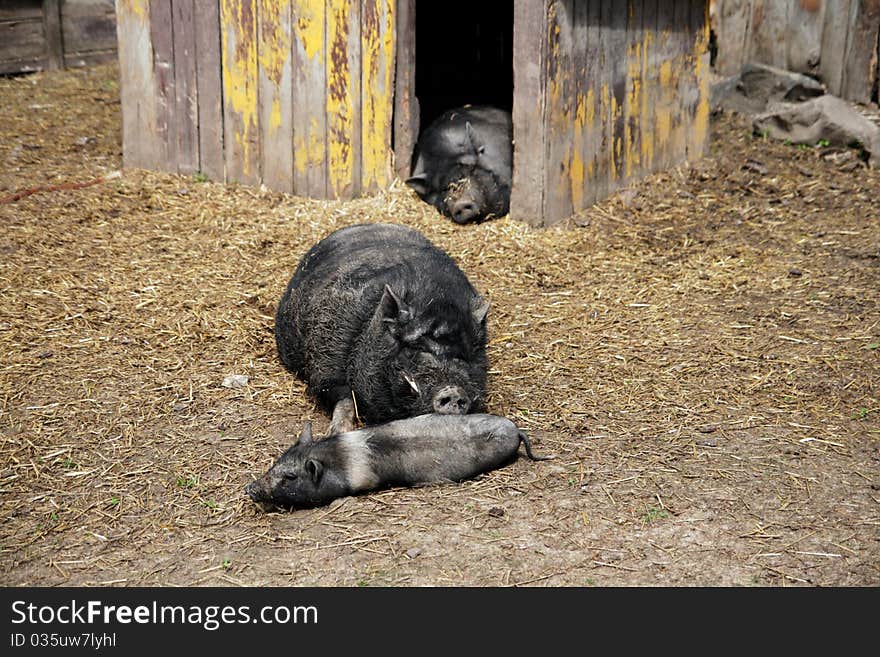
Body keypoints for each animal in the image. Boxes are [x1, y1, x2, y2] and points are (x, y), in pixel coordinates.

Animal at [276, 223, 492, 434]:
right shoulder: (327, 358)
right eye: (415, 348)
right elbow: (344, 397)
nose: (454, 391)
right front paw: (338, 431)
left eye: (463, 357)